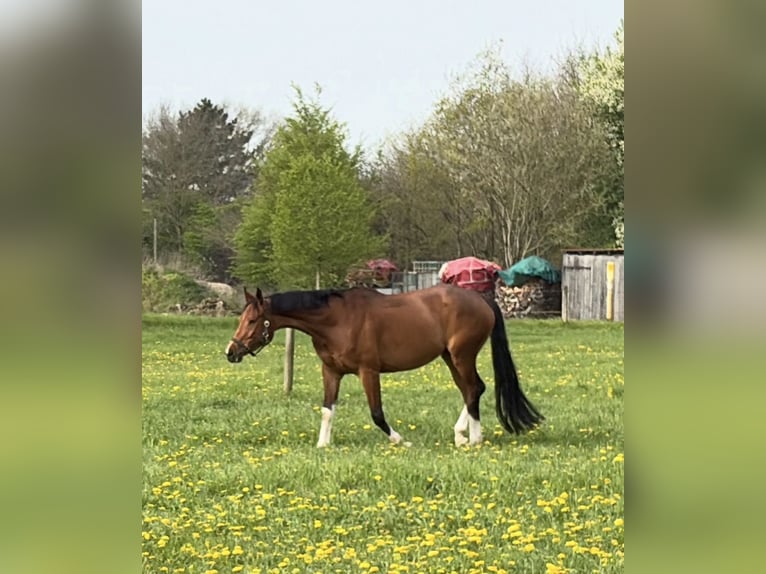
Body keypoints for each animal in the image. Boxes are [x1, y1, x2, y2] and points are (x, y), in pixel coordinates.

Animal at [225, 284, 543, 447]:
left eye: (252, 320)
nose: (231, 352)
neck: (336, 320)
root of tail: (481, 298)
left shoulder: (368, 372)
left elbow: (376, 413)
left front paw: (400, 440)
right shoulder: (331, 372)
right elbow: (327, 411)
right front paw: (322, 445)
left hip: (462, 355)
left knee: (473, 389)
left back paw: (474, 438)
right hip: (449, 357)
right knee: (472, 389)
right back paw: (460, 435)